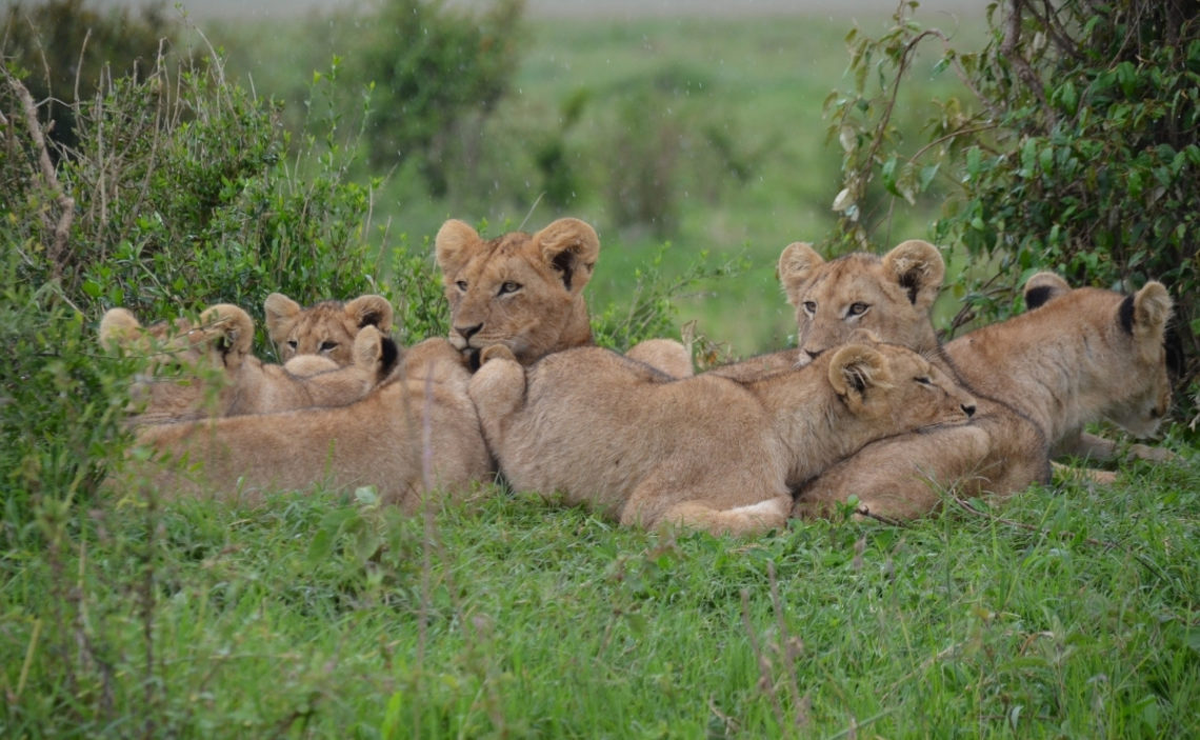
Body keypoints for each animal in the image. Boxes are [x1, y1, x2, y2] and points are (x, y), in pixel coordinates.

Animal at [468, 334, 977, 537]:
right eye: (924, 380)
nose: (972, 407)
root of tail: (539, 363)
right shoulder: (645, 509)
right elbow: (760, 514)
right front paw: (776, 507)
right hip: (495, 377)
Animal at [787, 253, 1175, 521]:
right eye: (1165, 352)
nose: (1168, 402)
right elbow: (1092, 473)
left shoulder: (1070, 440)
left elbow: (1133, 451)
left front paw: (1171, 461)